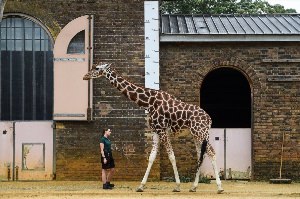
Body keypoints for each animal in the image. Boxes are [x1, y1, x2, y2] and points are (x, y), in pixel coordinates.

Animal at [83, 63, 224, 194]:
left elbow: (171, 156)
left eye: (97, 68)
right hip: (195, 134)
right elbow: (151, 157)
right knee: (201, 154)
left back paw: (220, 187)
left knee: (211, 153)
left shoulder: (162, 130)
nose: (85, 76)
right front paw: (141, 186)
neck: (149, 102)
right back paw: (194, 187)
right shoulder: (156, 131)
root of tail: (209, 119)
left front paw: (177, 186)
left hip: (201, 133)